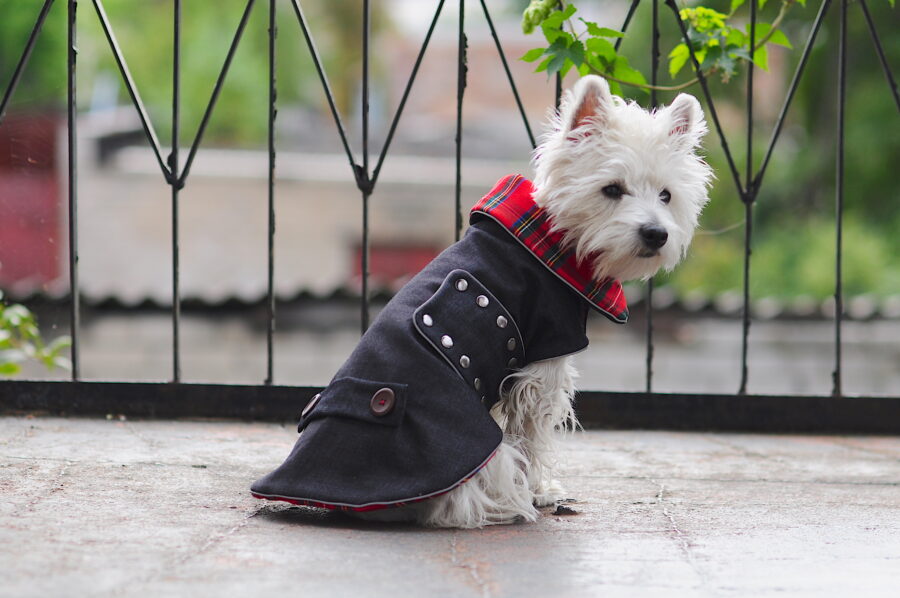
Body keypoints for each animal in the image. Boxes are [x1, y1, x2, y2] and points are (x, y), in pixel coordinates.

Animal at [250, 75, 712, 528]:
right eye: (612, 189)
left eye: (667, 195)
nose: (656, 234)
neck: (553, 241)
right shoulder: (543, 363)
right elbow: (530, 436)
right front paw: (541, 490)